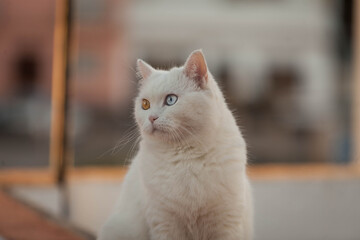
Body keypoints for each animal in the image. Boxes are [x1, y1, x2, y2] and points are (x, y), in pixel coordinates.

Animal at [97, 49, 252, 239]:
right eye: (145, 104)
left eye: (171, 100)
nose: (151, 118)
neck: (185, 157)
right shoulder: (164, 222)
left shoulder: (227, 223)